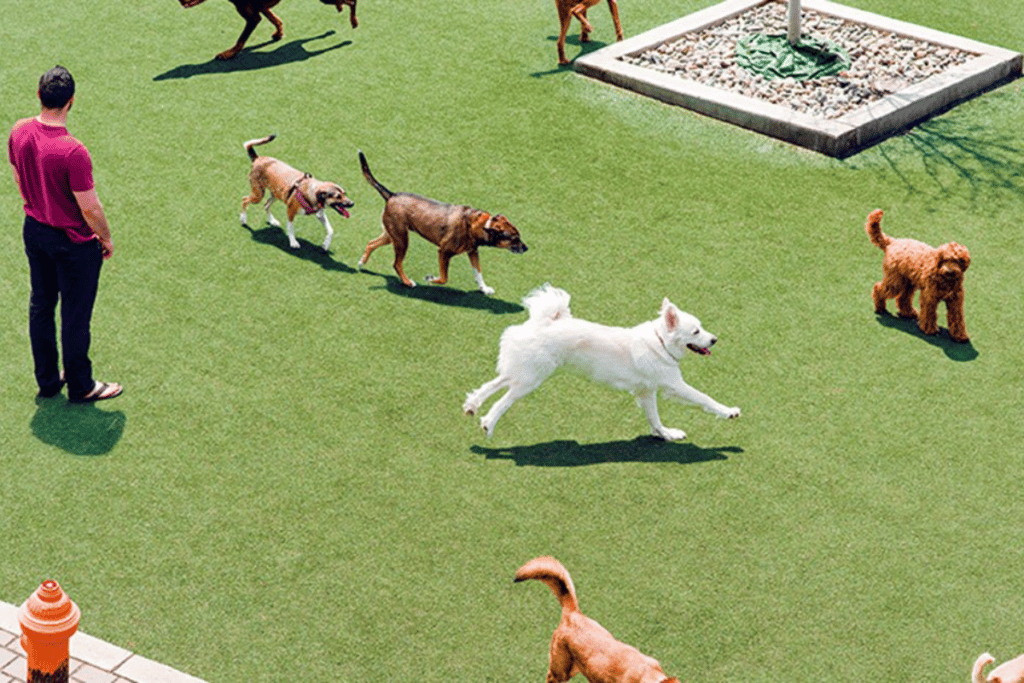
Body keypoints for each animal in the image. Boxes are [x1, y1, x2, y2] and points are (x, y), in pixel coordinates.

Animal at [356, 150, 528, 294]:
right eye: (514, 238)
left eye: (518, 236)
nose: (526, 248)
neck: (481, 225)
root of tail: (391, 195)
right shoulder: (444, 252)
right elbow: (444, 278)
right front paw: (430, 279)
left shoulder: (473, 252)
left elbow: (478, 272)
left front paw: (484, 289)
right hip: (402, 240)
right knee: (396, 264)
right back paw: (407, 282)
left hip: (392, 235)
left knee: (371, 243)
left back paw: (361, 263)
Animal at [462, 284, 737, 440]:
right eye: (696, 332)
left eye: (702, 328)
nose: (714, 339)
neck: (660, 342)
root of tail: (542, 321)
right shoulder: (673, 385)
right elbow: (704, 398)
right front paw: (729, 412)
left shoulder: (647, 392)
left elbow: (654, 418)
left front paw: (665, 435)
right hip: (532, 378)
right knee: (505, 399)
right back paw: (488, 423)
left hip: (525, 371)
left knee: (496, 382)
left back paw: (472, 405)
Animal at [868, 208, 970, 344]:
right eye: (945, 259)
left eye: (958, 261)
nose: (950, 271)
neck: (944, 277)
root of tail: (892, 242)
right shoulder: (929, 296)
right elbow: (929, 313)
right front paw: (929, 330)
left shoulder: (955, 301)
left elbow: (957, 319)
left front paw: (960, 336)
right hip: (895, 282)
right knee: (879, 288)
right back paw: (880, 308)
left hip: (908, 282)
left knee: (903, 298)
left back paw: (908, 313)